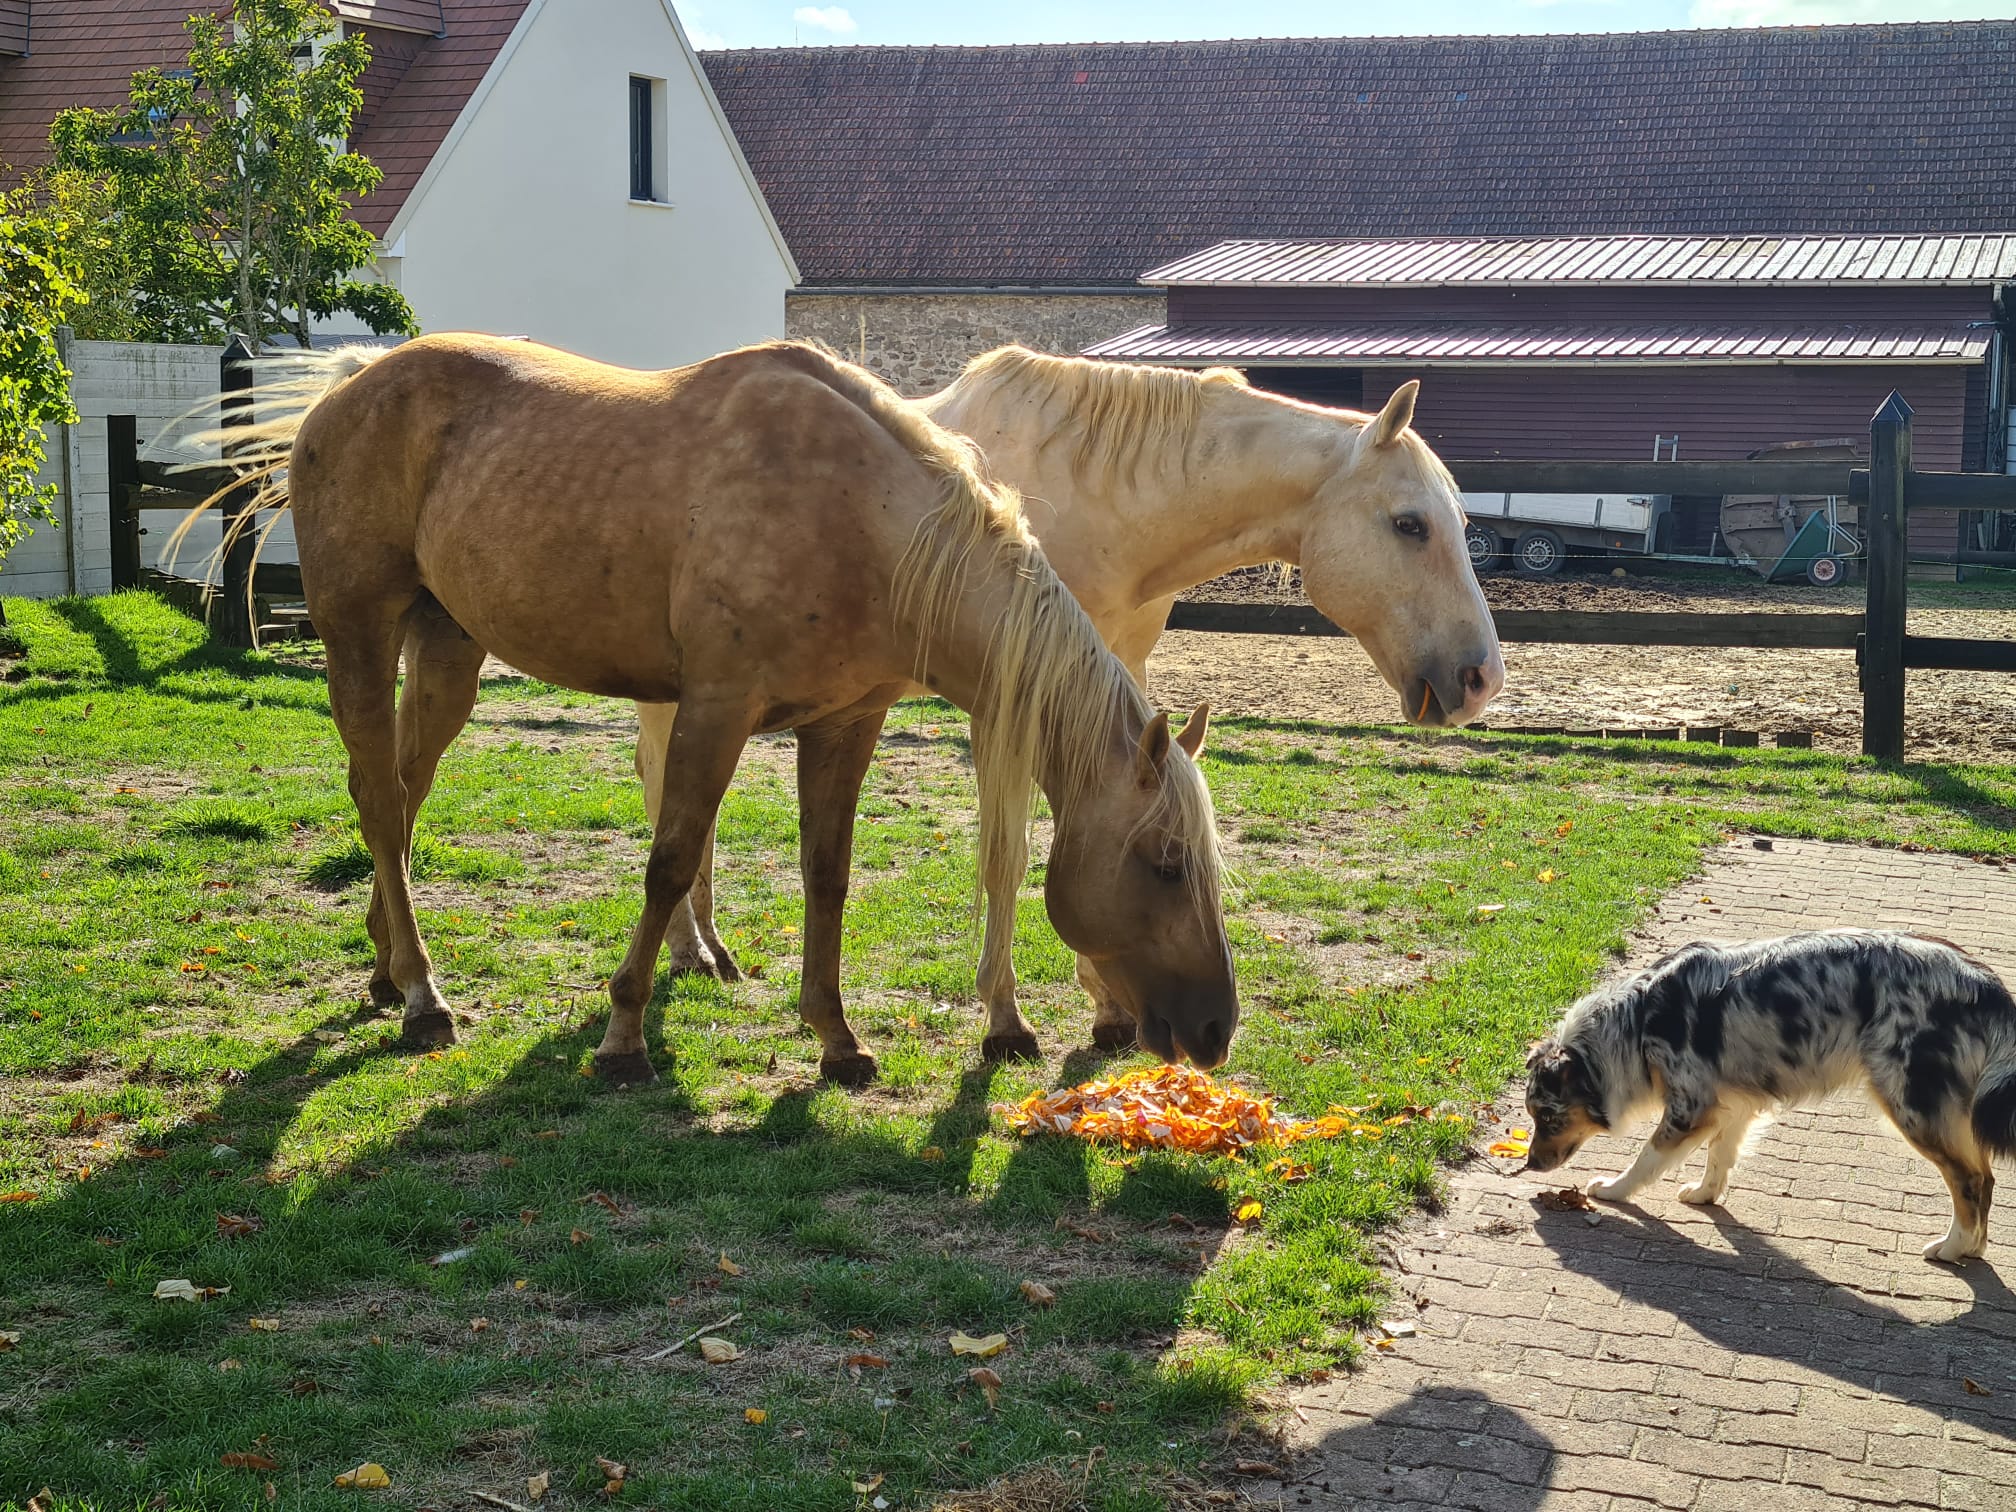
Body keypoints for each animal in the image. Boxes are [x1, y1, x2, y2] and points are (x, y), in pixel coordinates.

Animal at [192, 336, 1225, 1080]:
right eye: (1167, 863)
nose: (1216, 1031)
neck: (863, 522)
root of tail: (349, 388)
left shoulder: (845, 725)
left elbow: (826, 877)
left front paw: (836, 1039)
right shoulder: (716, 709)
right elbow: (670, 862)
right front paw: (623, 1035)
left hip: (447, 648)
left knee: (403, 800)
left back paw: (385, 968)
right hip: (358, 635)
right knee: (377, 800)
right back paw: (423, 996)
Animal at [637, 354, 1507, 1056]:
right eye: (1409, 524)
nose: (1481, 679)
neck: (1103, 497)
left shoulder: (1112, 675)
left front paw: (1107, 1006)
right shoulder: (1003, 699)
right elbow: (1009, 855)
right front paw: (1006, 1021)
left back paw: (704, 949)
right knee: (661, 786)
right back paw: (691, 950)